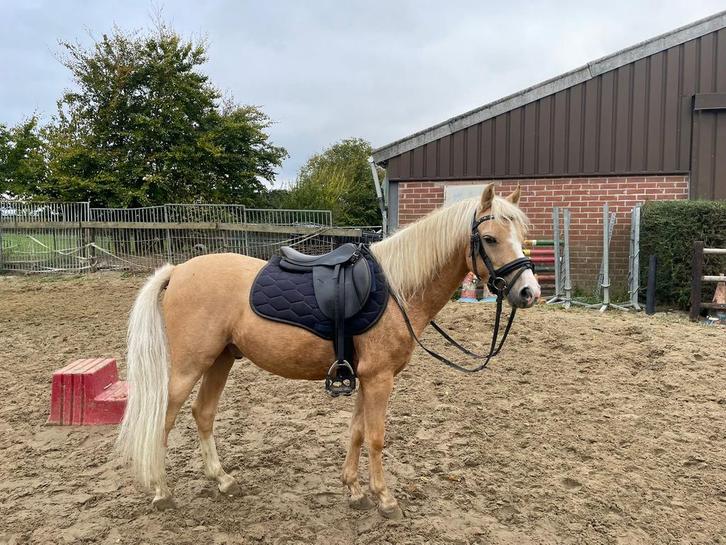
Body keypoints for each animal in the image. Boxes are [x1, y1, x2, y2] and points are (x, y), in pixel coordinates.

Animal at [116, 183, 541, 519]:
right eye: (490, 239)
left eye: (522, 234)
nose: (529, 292)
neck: (397, 291)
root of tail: (178, 270)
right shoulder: (379, 379)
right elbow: (376, 437)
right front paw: (385, 499)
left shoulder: (365, 378)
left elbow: (356, 432)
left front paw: (354, 490)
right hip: (188, 367)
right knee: (163, 421)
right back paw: (162, 491)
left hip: (220, 360)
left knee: (203, 414)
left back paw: (223, 481)